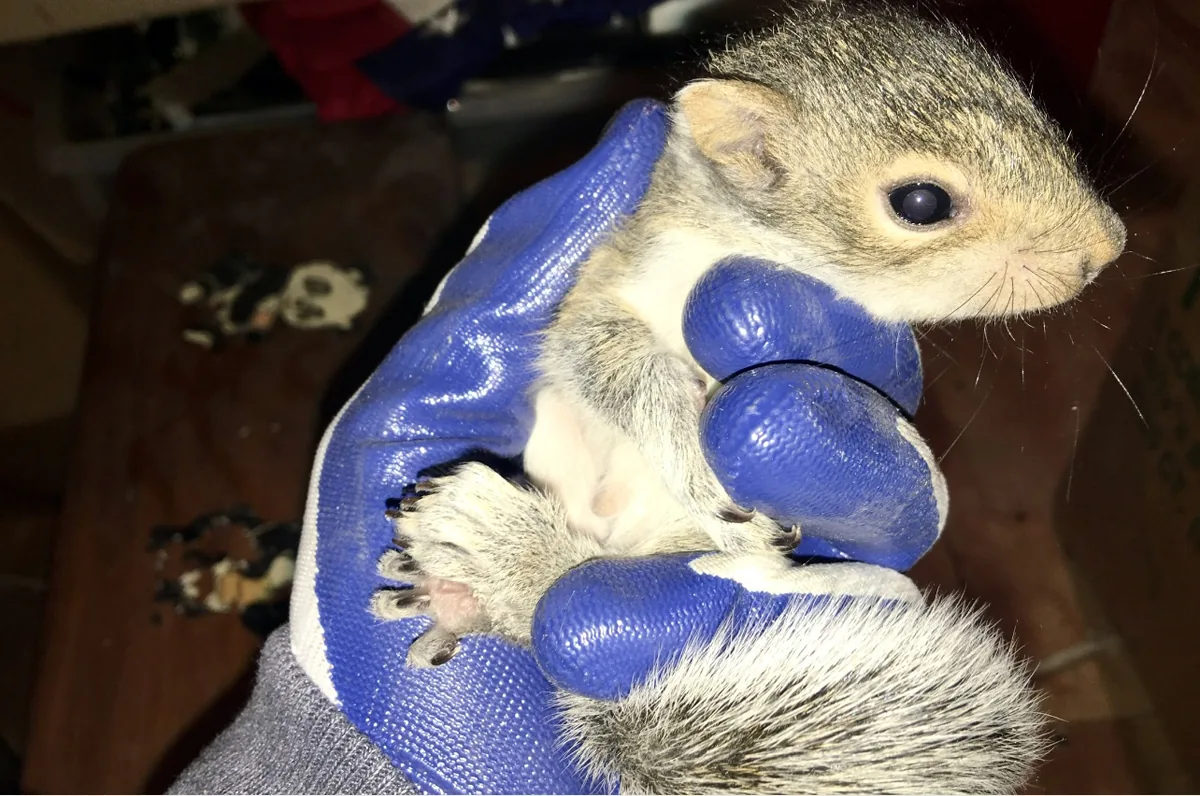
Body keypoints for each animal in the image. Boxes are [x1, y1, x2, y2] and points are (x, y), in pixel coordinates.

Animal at [370, 1, 1126, 792]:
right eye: (922, 202)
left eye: (1033, 108)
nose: (1109, 247)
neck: (746, 241)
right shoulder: (606, 284)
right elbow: (601, 356)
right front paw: (686, 444)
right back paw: (488, 554)